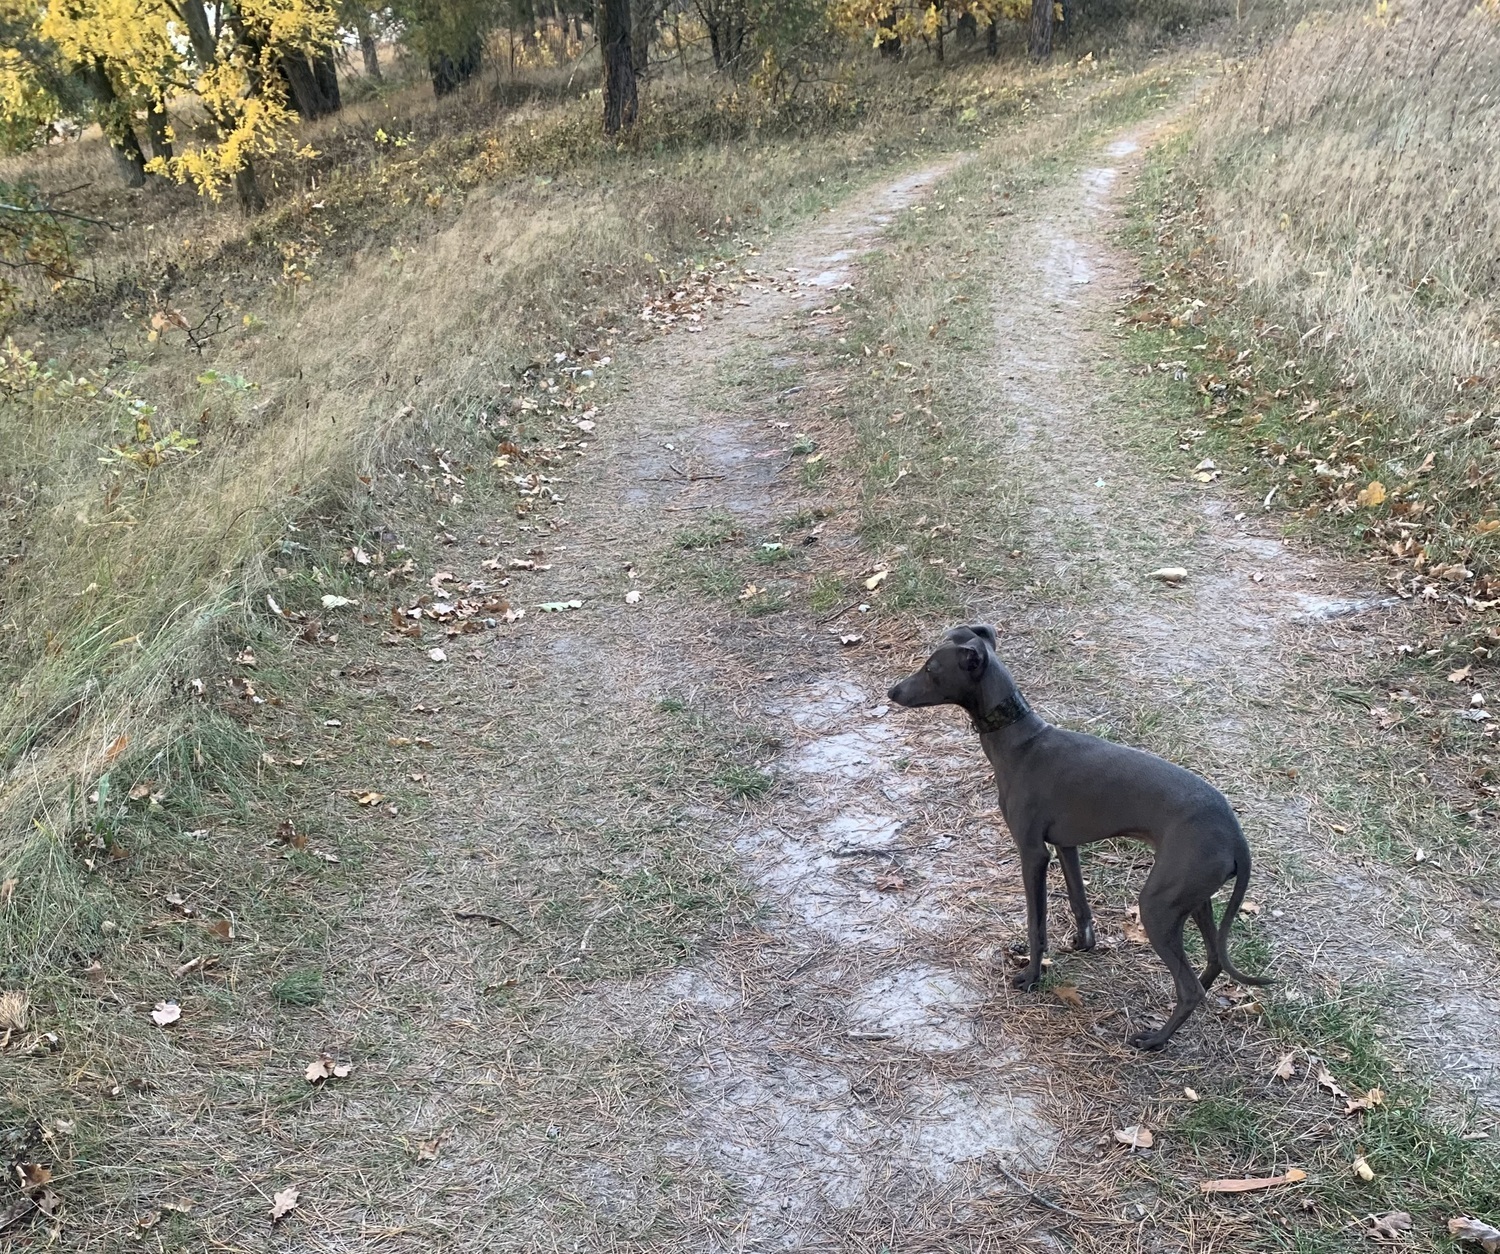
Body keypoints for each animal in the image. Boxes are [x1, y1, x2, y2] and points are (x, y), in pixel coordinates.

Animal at [882, 627, 1272, 1050]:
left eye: (931, 669)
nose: (892, 691)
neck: (1021, 740)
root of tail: (1235, 834)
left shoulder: (1033, 853)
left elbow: (1036, 924)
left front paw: (1031, 976)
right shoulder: (1065, 845)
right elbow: (1078, 900)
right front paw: (1084, 944)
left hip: (1158, 904)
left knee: (1189, 989)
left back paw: (1155, 1039)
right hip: (1194, 897)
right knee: (1214, 959)